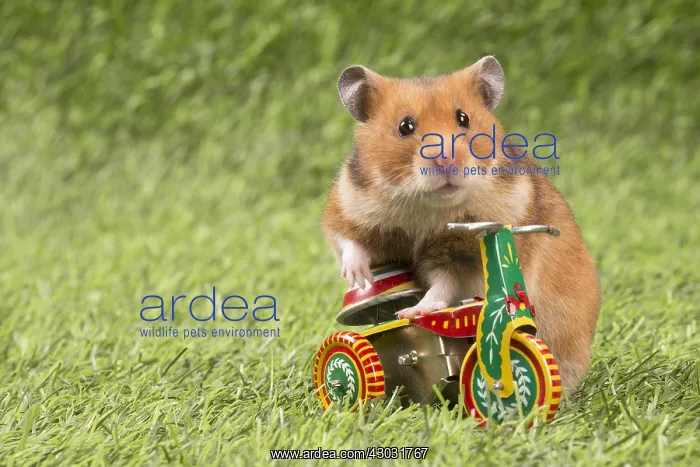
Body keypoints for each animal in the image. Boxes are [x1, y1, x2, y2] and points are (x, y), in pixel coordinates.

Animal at [321, 56, 600, 392]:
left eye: (463, 118)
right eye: (405, 126)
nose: (447, 160)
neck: (427, 209)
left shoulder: (461, 259)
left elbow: (443, 286)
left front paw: (411, 311)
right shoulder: (345, 205)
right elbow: (348, 241)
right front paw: (360, 279)